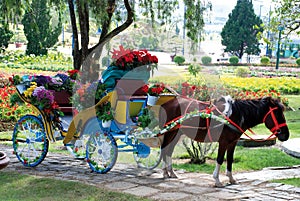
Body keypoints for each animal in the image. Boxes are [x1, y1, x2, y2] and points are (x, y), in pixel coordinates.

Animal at [158, 95, 290, 187]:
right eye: (277, 114)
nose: (286, 135)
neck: (233, 115)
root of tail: (167, 104)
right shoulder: (223, 142)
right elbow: (220, 159)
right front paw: (217, 180)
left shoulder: (232, 142)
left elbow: (230, 159)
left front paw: (231, 179)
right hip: (169, 132)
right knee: (164, 149)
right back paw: (165, 172)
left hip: (176, 133)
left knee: (168, 151)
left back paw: (171, 172)